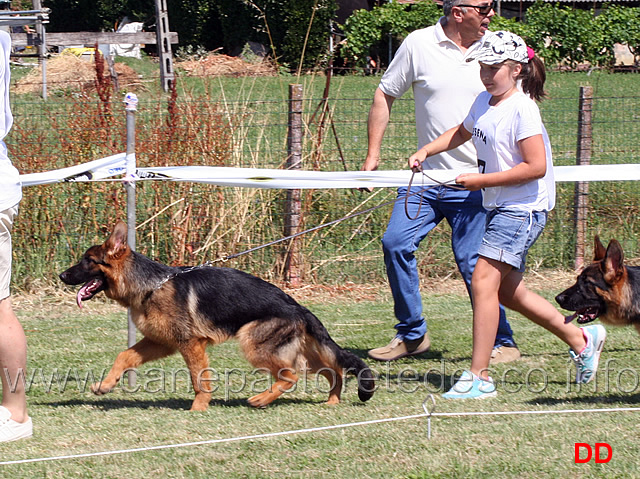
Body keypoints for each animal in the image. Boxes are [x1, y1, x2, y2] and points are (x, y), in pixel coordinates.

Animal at [60, 222, 376, 412]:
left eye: (88, 261)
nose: (61, 275)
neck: (151, 284)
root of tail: (298, 307)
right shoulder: (161, 342)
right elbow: (124, 356)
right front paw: (105, 386)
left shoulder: (190, 344)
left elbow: (199, 379)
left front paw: (198, 407)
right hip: (301, 352)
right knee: (333, 370)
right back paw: (332, 401)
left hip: (253, 343)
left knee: (291, 376)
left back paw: (260, 399)